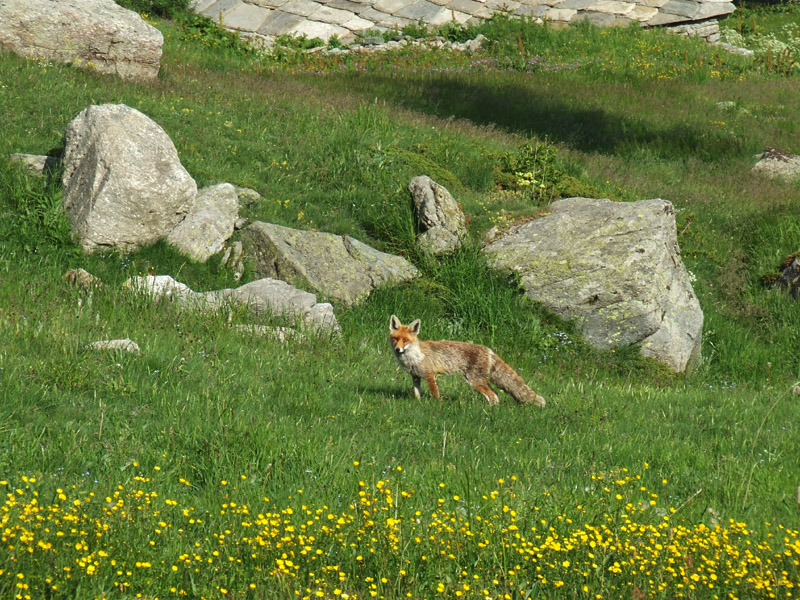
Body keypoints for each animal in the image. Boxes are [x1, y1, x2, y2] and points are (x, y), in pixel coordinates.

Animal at [390, 314, 548, 408]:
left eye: (406, 340)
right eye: (396, 339)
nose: (398, 349)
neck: (413, 356)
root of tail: (489, 350)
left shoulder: (430, 375)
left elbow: (435, 394)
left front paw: (435, 405)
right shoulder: (415, 376)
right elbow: (417, 394)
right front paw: (418, 403)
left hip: (474, 381)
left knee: (492, 395)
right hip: (478, 380)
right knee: (495, 395)